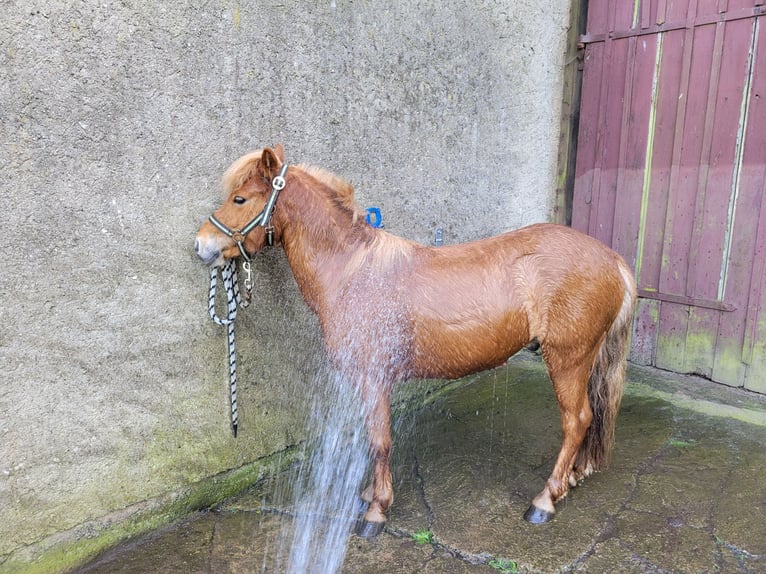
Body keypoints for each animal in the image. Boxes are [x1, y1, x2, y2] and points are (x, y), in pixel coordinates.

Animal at [195, 146, 640, 536]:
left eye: (239, 198)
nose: (202, 245)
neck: (351, 270)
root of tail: (612, 260)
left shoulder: (374, 378)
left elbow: (379, 441)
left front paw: (376, 511)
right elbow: (369, 438)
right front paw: (367, 494)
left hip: (567, 358)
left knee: (576, 420)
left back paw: (546, 499)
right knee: (590, 415)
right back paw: (573, 478)